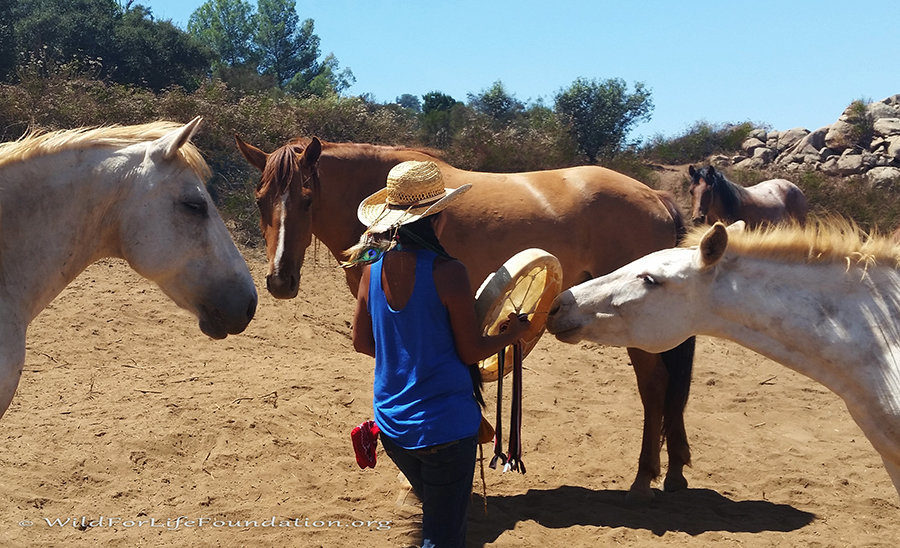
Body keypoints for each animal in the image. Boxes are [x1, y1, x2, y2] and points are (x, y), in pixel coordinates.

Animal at [235, 135, 696, 502]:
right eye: (260, 201)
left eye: (307, 199)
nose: (279, 280)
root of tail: (654, 196)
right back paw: (673, 473)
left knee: (654, 386)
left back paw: (643, 479)